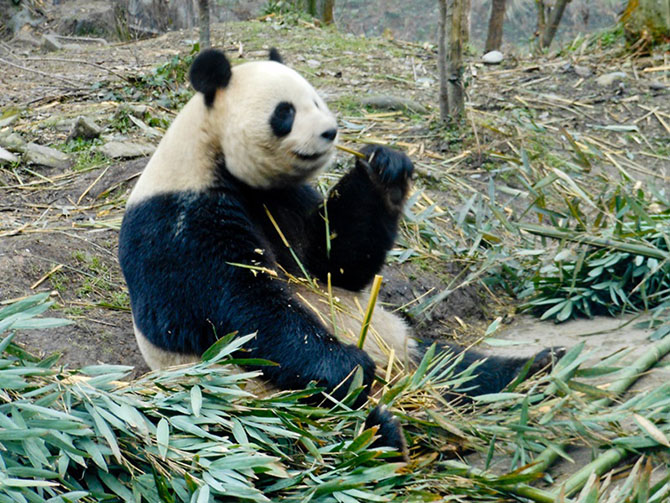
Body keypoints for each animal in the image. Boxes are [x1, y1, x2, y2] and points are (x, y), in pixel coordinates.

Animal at [119, 48, 560, 456]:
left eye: (317, 100)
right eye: (285, 112)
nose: (330, 132)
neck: (213, 155)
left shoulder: (285, 199)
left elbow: (334, 264)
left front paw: (384, 168)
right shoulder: (178, 218)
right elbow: (239, 305)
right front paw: (348, 367)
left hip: (402, 344)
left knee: (456, 365)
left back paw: (536, 367)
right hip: (254, 403)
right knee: (302, 435)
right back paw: (382, 433)